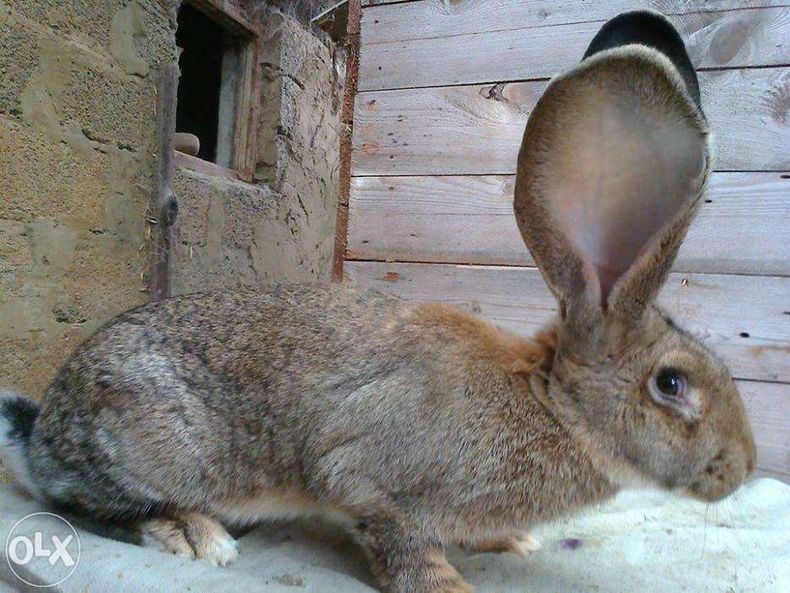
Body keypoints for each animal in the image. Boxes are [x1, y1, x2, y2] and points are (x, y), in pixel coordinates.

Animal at [0, 11, 756, 592]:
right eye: (672, 384)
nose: (744, 467)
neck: (552, 404)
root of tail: (43, 431)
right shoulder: (374, 477)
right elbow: (396, 536)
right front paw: (449, 584)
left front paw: (510, 542)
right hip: (154, 444)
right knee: (80, 504)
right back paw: (193, 534)